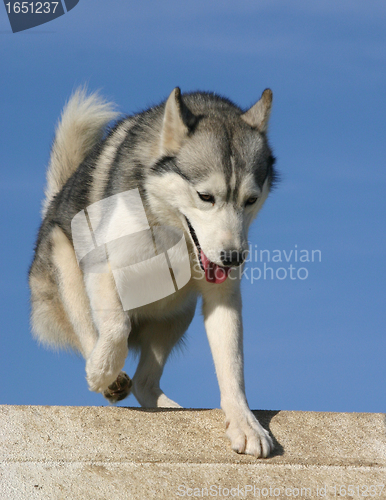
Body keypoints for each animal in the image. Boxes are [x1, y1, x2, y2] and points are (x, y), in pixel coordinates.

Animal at [30, 87, 278, 458]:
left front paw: (244, 423)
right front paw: (102, 371)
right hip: (67, 265)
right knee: (90, 332)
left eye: (250, 200)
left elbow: (232, 364)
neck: (168, 228)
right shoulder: (103, 266)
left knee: (146, 383)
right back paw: (107, 376)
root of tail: (54, 204)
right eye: (206, 196)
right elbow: (115, 327)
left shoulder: (223, 295)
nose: (233, 258)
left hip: (177, 310)